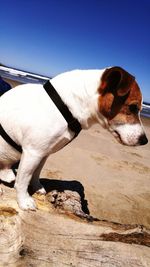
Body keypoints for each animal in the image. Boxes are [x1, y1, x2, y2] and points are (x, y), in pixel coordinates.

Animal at [0, 67, 148, 211]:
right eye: (132, 107)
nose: (145, 140)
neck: (66, 107)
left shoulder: (43, 153)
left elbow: (36, 173)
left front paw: (37, 187)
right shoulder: (33, 152)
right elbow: (23, 180)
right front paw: (24, 201)